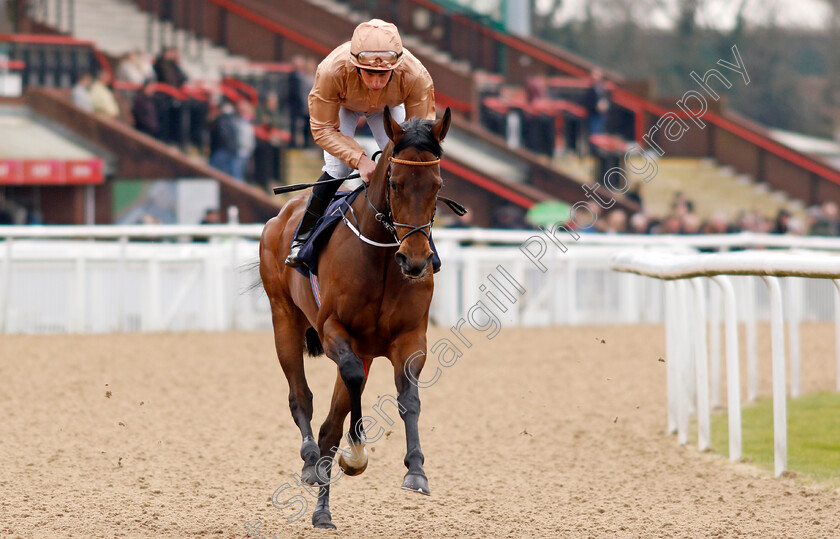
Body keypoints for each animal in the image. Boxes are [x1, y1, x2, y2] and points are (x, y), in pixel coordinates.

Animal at [258, 106, 450, 532]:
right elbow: (351, 379)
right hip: (284, 318)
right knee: (302, 398)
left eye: (437, 184)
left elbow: (408, 398)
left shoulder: (410, 338)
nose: (415, 261)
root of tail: (282, 215)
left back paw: (322, 510)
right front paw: (356, 452)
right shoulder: (334, 331)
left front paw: (416, 471)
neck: (383, 257)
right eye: (394, 182)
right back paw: (311, 462)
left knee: (331, 424)